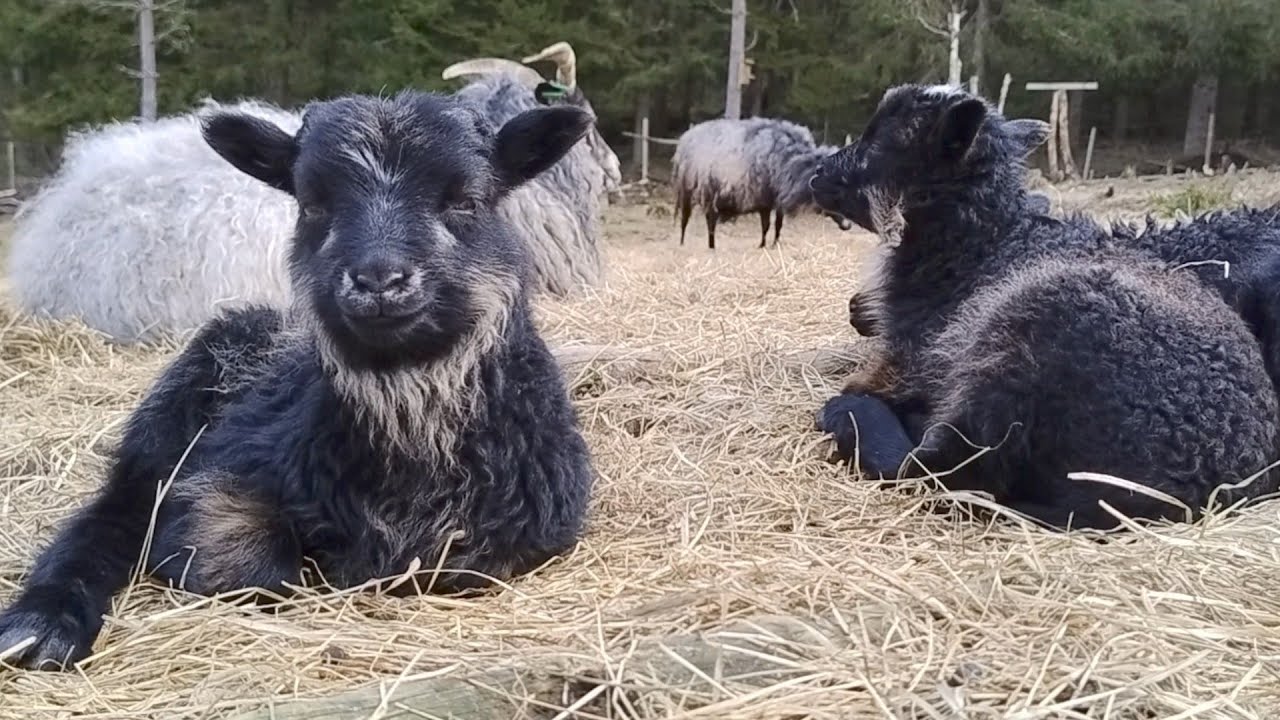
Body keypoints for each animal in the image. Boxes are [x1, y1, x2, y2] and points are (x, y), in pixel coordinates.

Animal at [0, 90, 598, 671]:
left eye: (466, 200)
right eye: (312, 205)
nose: (379, 281)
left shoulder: (529, 531)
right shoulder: (220, 477)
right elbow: (241, 562)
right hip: (165, 422)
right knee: (114, 511)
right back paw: (41, 627)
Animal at [672, 116, 854, 249]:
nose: (848, 225)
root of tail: (688, 136)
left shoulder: (777, 199)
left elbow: (778, 225)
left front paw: (774, 244)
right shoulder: (764, 200)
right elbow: (766, 225)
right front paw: (762, 245)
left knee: (709, 219)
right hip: (691, 190)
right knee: (689, 219)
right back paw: (691, 244)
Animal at [808, 84, 1280, 531]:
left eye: (880, 139)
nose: (816, 175)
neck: (985, 244)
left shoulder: (912, 360)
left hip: (1024, 344)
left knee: (949, 472)